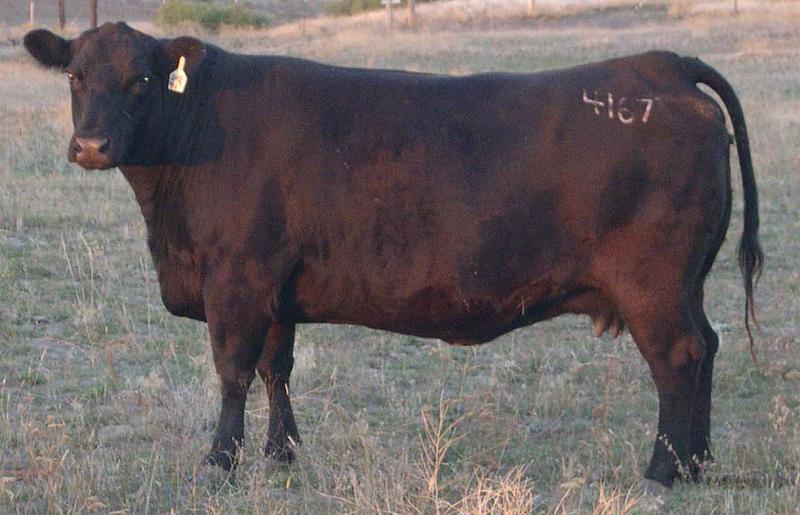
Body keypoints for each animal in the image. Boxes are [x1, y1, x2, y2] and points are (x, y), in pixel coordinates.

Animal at [24, 22, 762, 489]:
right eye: (74, 75)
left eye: (143, 79)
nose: (91, 146)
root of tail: (662, 64)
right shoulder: (275, 287)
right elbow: (275, 369)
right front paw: (280, 456)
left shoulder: (235, 280)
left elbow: (232, 372)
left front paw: (218, 465)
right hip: (686, 285)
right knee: (708, 347)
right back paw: (699, 465)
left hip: (653, 287)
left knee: (678, 358)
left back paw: (663, 473)